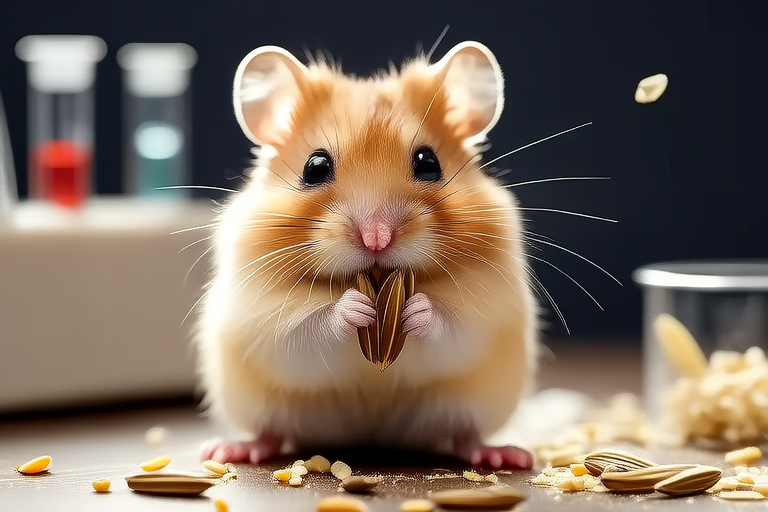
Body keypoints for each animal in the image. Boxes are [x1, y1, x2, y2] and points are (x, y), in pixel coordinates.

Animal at [196, 41, 539, 469]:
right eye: (315, 167)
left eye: (429, 163)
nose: (377, 238)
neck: (374, 281)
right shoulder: (262, 320)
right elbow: (308, 326)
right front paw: (355, 307)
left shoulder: (486, 317)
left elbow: (450, 324)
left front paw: (416, 309)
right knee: (270, 433)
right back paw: (229, 450)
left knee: (465, 436)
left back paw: (505, 456)